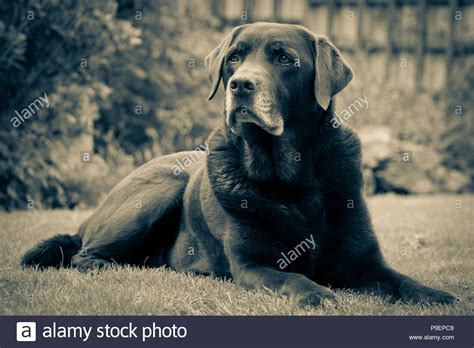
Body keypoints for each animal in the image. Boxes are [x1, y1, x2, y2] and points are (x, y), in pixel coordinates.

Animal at [21, 21, 456, 306]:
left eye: (284, 58)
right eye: (234, 58)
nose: (240, 84)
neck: (291, 177)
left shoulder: (365, 263)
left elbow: (404, 282)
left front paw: (437, 295)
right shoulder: (254, 265)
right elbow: (295, 279)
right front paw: (319, 294)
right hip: (161, 189)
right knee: (83, 255)